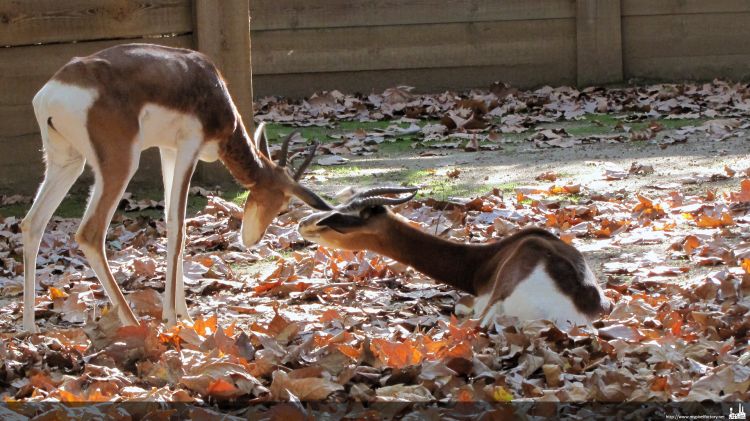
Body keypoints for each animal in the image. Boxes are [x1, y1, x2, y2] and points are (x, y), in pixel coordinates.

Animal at [21, 43, 332, 332]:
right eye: (282, 203)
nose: (251, 240)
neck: (210, 86)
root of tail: (53, 91)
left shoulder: (168, 149)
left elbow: (172, 228)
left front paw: (184, 313)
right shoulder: (189, 148)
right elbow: (179, 225)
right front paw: (171, 318)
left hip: (67, 162)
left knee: (32, 223)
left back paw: (30, 327)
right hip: (120, 165)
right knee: (90, 233)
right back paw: (133, 322)